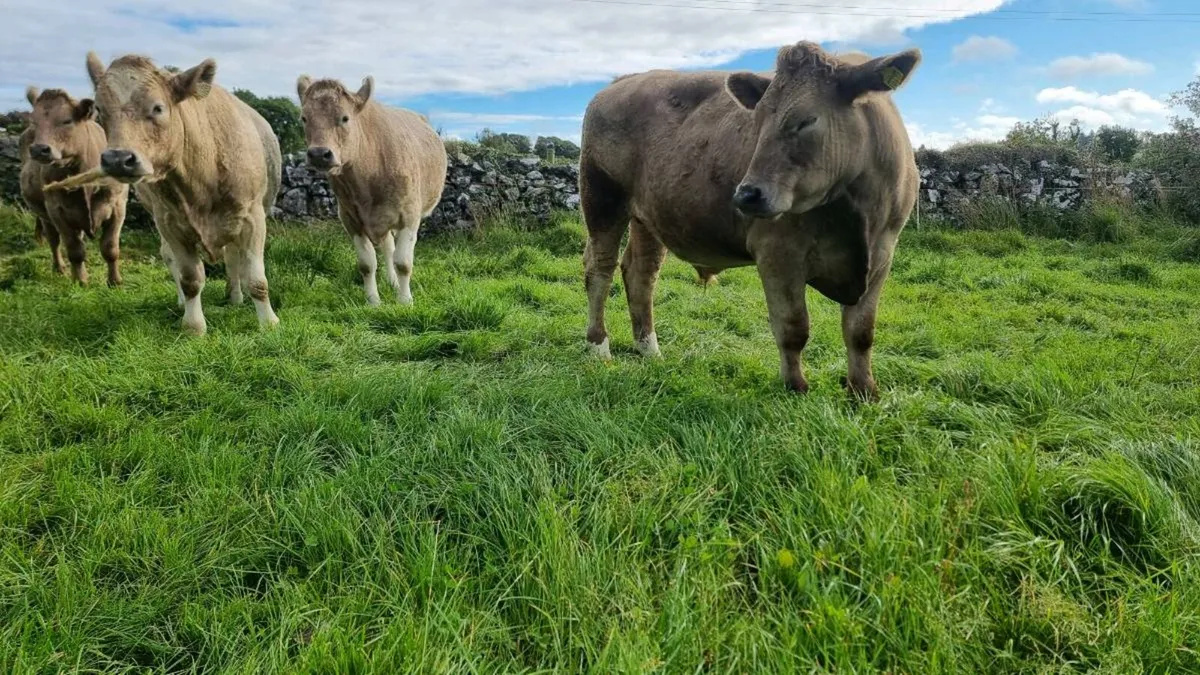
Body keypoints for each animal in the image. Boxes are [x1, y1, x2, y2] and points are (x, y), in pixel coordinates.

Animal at [20, 87, 129, 285]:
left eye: (67, 120)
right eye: (34, 121)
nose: (38, 149)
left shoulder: (117, 206)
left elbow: (110, 249)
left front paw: (115, 281)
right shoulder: (57, 211)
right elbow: (75, 250)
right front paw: (80, 281)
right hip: (44, 214)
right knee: (54, 241)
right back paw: (60, 268)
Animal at [81, 52, 282, 335]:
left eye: (157, 108)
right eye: (99, 111)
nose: (118, 159)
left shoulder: (253, 218)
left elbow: (256, 278)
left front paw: (268, 323)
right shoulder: (170, 222)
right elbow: (190, 278)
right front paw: (193, 326)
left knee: (232, 258)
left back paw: (235, 297)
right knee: (169, 257)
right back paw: (183, 302)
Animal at [296, 75, 447, 306]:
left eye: (345, 118)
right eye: (304, 118)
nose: (319, 154)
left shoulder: (409, 216)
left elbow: (404, 262)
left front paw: (405, 301)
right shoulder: (350, 219)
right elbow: (367, 264)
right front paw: (373, 301)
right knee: (388, 247)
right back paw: (392, 282)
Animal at [578, 41, 921, 399]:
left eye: (806, 121)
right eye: (758, 122)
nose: (746, 195)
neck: (855, 216)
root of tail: (625, 80)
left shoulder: (882, 254)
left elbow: (861, 332)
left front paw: (864, 392)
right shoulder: (778, 254)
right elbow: (793, 328)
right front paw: (796, 389)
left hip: (647, 217)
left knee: (641, 274)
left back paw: (649, 350)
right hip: (601, 198)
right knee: (600, 270)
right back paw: (599, 348)